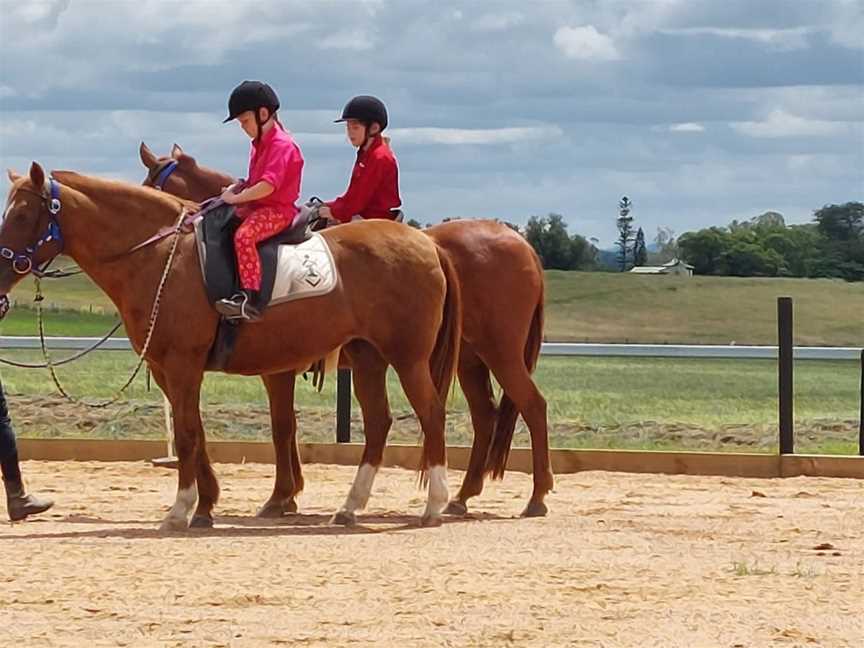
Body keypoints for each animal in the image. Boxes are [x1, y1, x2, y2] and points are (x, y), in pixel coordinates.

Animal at [3, 162, 462, 528]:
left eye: (22, 213)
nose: (1, 267)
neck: (163, 257)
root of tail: (428, 244)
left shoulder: (183, 365)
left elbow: (188, 433)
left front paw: (182, 509)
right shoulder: (168, 369)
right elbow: (199, 432)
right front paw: (206, 505)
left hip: (408, 358)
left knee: (432, 414)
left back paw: (435, 505)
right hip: (369, 359)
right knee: (380, 422)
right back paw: (351, 507)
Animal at [138, 142, 552, 516]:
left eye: (152, 183)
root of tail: (523, 245)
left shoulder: (276, 368)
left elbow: (282, 427)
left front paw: (281, 496)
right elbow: (285, 426)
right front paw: (288, 494)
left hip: (498, 353)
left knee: (531, 405)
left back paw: (535, 496)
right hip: (470, 362)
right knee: (485, 416)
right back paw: (462, 497)